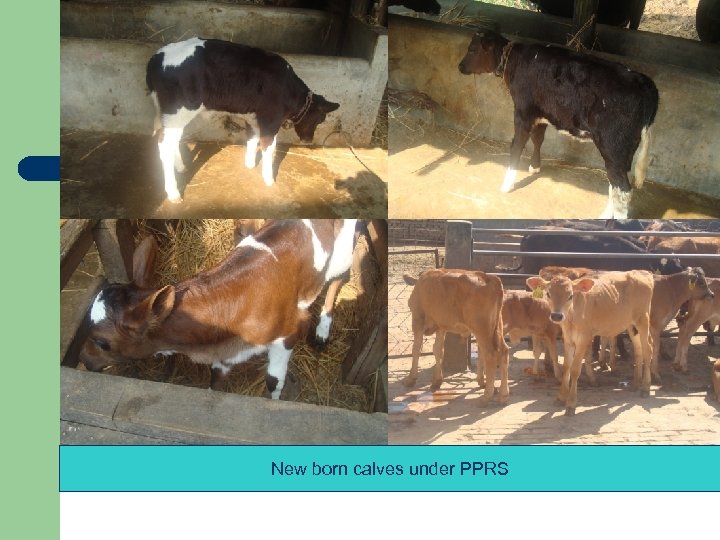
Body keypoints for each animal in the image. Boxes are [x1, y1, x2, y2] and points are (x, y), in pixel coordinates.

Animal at [79, 219, 357, 399]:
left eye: (103, 342)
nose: (83, 358)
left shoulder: (288, 332)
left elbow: (273, 381)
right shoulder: (223, 354)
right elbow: (215, 383)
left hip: (342, 251)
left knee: (339, 278)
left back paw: (322, 332)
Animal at [146, 38, 340, 202]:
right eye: (320, 119)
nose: (308, 140)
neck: (288, 89)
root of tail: (158, 56)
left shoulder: (253, 117)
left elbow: (252, 139)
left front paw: (249, 165)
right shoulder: (271, 119)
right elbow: (269, 147)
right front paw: (269, 179)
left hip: (168, 116)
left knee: (169, 140)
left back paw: (181, 167)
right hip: (178, 112)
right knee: (164, 145)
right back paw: (173, 193)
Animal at [402, 269, 509, 405]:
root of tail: (489, 278)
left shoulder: (417, 320)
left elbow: (416, 349)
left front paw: (411, 378)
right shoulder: (441, 326)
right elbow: (438, 350)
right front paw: (437, 381)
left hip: (482, 329)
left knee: (490, 355)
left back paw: (487, 396)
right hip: (496, 327)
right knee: (503, 351)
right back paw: (503, 395)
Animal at [458, 30, 658, 218]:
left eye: (472, 49)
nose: (459, 66)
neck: (514, 60)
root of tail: (644, 82)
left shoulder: (523, 111)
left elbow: (517, 145)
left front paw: (507, 184)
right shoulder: (542, 113)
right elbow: (538, 138)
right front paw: (535, 167)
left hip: (614, 146)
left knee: (623, 189)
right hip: (622, 152)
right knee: (615, 184)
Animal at [527, 270, 654, 415]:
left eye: (570, 296)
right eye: (548, 294)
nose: (557, 316)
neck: (572, 316)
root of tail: (641, 272)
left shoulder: (584, 338)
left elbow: (575, 369)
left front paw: (571, 404)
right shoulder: (568, 339)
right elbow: (566, 366)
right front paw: (561, 397)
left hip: (643, 319)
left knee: (648, 349)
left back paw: (645, 387)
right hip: (631, 324)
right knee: (638, 349)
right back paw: (636, 383)